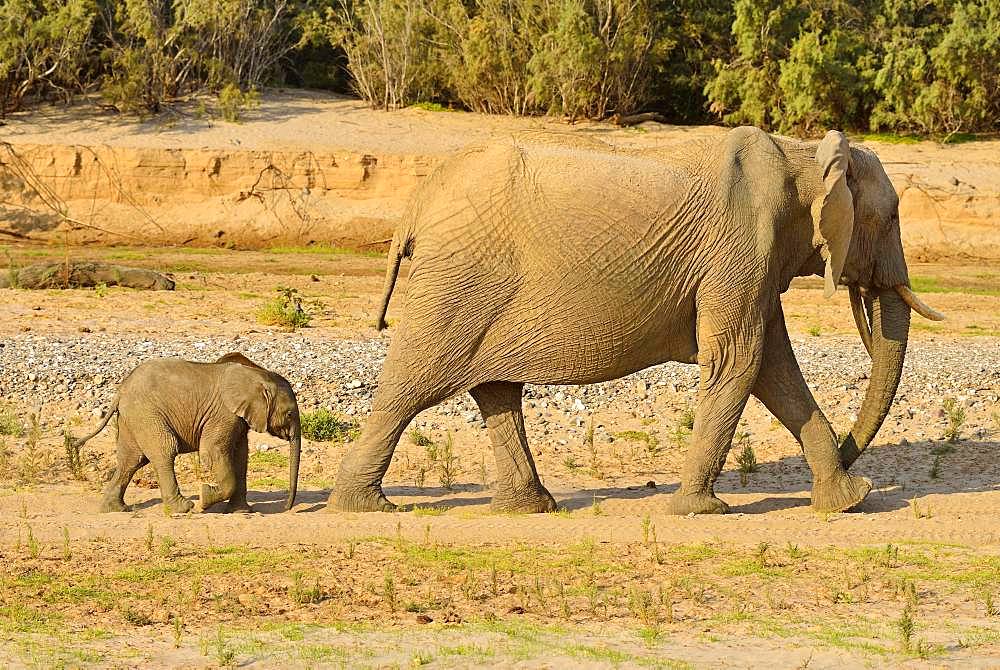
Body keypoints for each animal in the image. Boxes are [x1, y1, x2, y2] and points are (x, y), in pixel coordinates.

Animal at [73, 354, 300, 516]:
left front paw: (241, 511)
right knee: (164, 450)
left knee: (131, 460)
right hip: (147, 414)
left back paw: (115, 509)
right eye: (289, 414)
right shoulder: (223, 413)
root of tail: (121, 390)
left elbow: (240, 456)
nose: (287, 508)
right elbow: (213, 453)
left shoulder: (238, 418)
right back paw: (184, 508)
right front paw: (204, 497)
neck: (257, 375)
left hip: (133, 419)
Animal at [330, 130, 944, 520]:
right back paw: (364, 507)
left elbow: (774, 369)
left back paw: (530, 508)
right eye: (892, 216)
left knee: (494, 388)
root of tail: (417, 202)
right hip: (460, 280)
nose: (851, 450)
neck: (804, 155)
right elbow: (740, 363)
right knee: (412, 384)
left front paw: (850, 499)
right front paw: (700, 511)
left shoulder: (753, 263)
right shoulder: (739, 248)